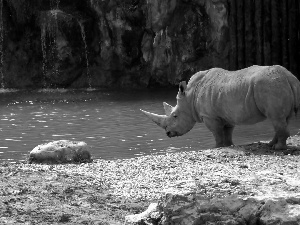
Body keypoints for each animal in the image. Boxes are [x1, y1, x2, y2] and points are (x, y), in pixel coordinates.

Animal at [142, 65, 300, 149]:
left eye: (175, 116)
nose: (168, 133)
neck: (190, 96)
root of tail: (289, 77)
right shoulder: (227, 114)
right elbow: (227, 131)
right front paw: (229, 145)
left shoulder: (209, 116)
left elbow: (217, 133)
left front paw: (216, 147)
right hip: (277, 85)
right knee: (282, 119)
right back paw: (271, 145)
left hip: (270, 85)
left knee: (276, 117)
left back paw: (278, 148)